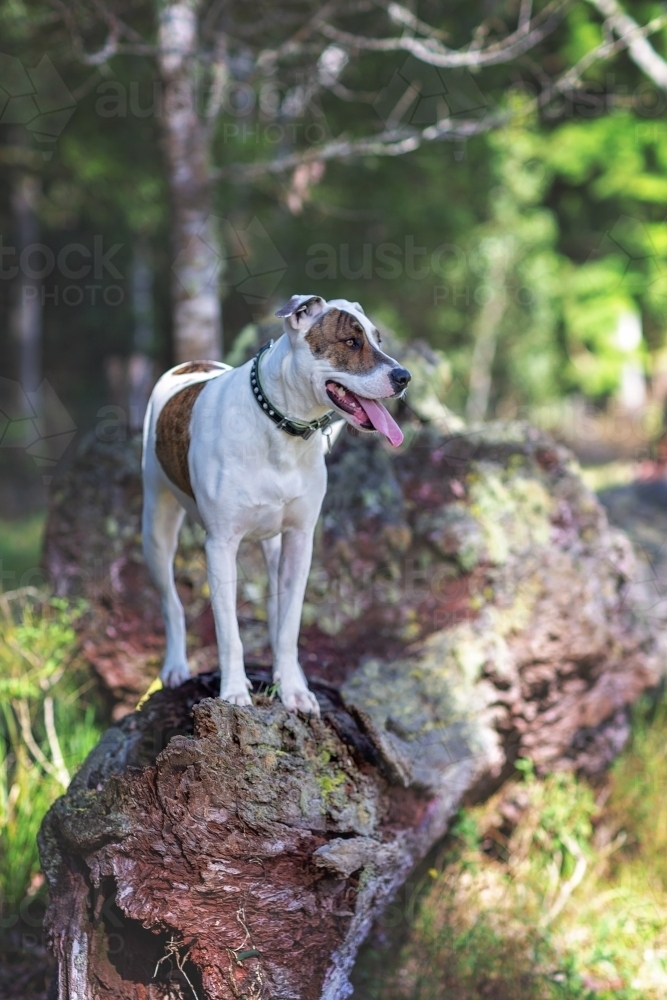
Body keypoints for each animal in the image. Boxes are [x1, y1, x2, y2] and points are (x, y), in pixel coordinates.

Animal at [144, 292, 410, 716]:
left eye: (377, 339)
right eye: (351, 342)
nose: (404, 377)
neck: (281, 426)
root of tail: (192, 364)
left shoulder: (300, 539)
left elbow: (289, 624)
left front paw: (294, 690)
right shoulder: (220, 545)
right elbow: (229, 632)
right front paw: (234, 691)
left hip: (273, 544)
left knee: (277, 609)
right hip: (155, 527)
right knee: (171, 602)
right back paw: (174, 666)